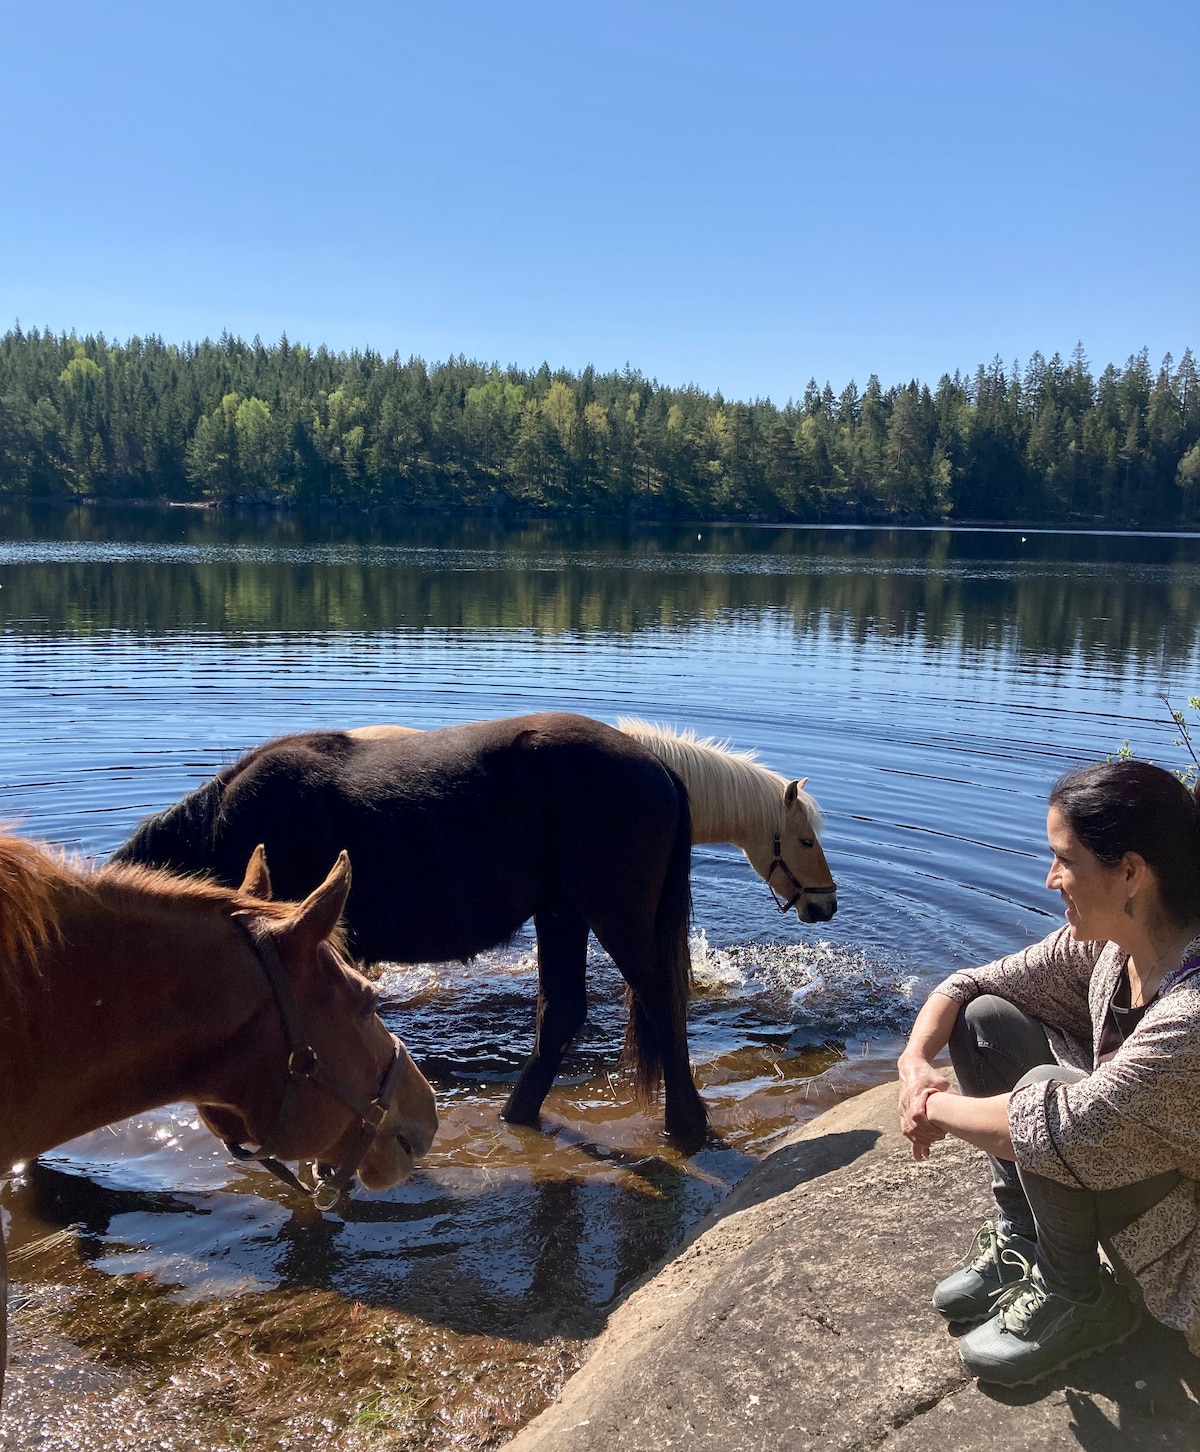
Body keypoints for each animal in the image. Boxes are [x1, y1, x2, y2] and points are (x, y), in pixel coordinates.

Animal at [111, 712, 705, 1146]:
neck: (218, 828)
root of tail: (657, 765)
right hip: (562, 914)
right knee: (562, 1012)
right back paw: (517, 1115)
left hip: (615, 916)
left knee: (661, 1003)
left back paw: (685, 1126)